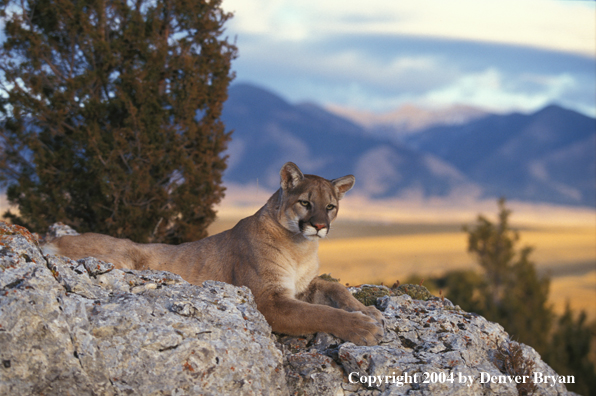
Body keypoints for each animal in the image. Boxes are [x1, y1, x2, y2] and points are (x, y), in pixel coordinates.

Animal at [44, 162, 384, 344]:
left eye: (330, 207)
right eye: (305, 202)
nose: (319, 225)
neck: (301, 246)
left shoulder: (301, 286)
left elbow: (334, 287)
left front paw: (367, 311)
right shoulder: (269, 300)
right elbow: (320, 313)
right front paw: (363, 327)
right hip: (126, 255)